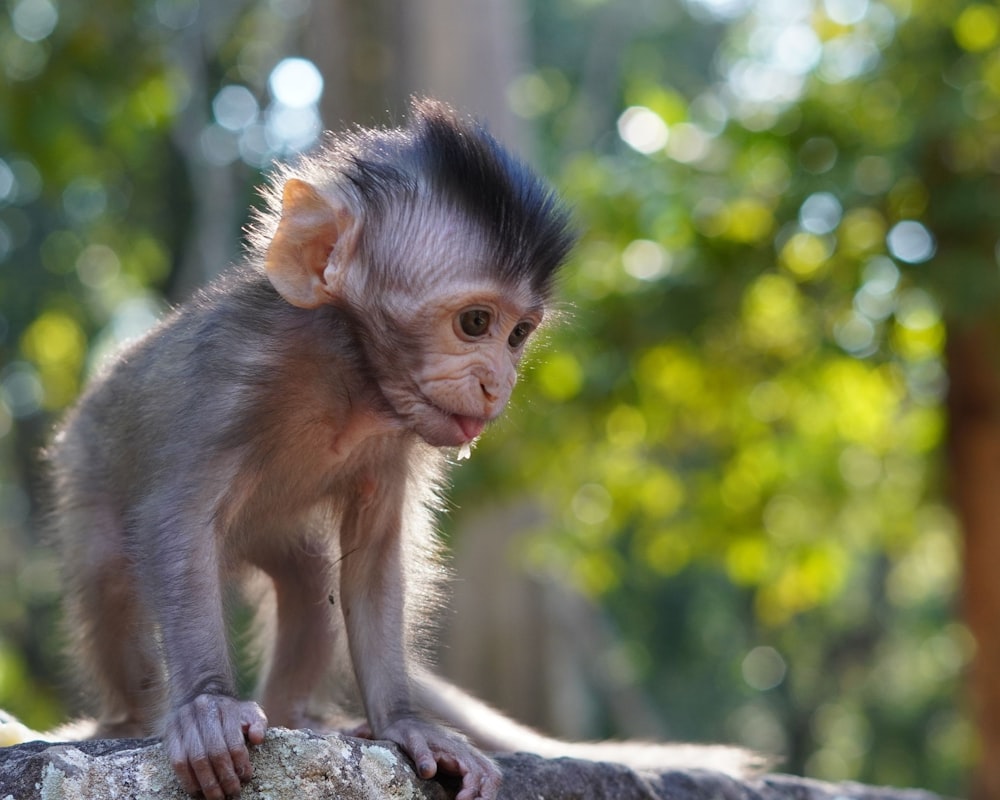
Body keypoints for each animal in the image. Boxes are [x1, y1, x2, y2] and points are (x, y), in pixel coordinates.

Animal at [48, 100, 572, 800]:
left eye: (518, 335)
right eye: (475, 324)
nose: (498, 383)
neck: (349, 372)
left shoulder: (397, 439)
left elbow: (373, 559)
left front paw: (404, 723)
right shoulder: (234, 373)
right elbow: (175, 523)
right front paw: (207, 708)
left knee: (308, 583)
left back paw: (295, 714)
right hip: (85, 465)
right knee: (109, 572)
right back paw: (128, 720)